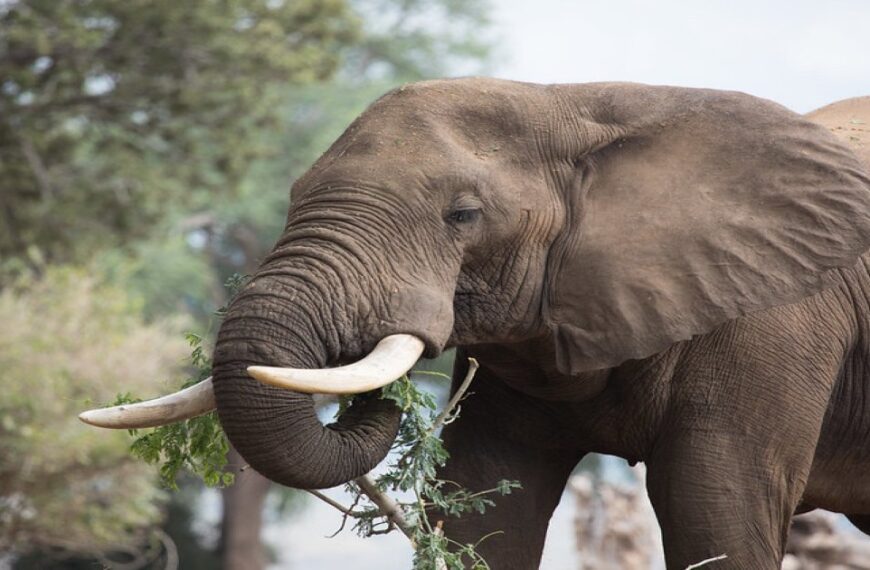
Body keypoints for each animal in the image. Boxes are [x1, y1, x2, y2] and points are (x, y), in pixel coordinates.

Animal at [85, 81, 870, 568]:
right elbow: (481, 505)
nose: (378, 401)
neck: (579, 105)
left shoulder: (771, 321)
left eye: (462, 215)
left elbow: (715, 510)